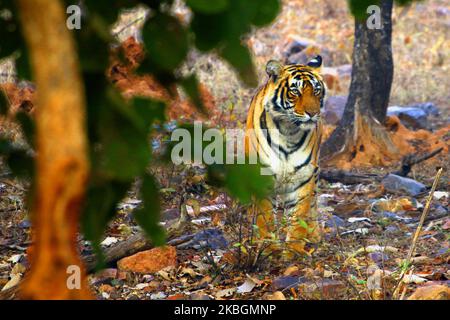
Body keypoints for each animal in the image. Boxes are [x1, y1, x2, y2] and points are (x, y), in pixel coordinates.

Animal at [244, 54, 326, 255]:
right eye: (295, 91)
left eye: (317, 91)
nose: (313, 113)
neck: (289, 131)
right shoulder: (261, 175)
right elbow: (265, 217)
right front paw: (268, 247)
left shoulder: (304, 177)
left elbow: (298, 216)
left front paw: (294, 249)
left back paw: (314, 235)